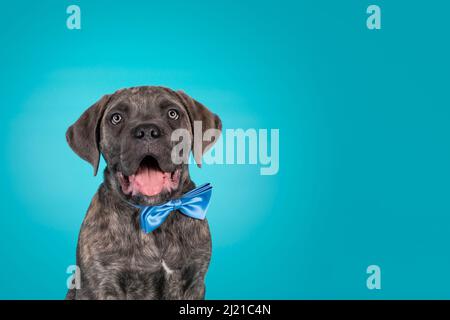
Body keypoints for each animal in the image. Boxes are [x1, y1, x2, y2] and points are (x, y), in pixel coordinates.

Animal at [64, 85, 221, 300]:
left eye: (173, 113)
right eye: (116, 118)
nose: (147, 131)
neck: (154, 212)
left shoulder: (194, 282)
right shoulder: (101, 285)